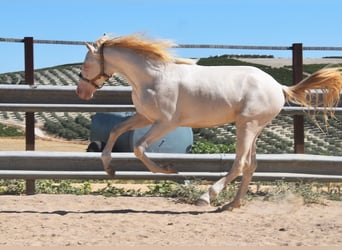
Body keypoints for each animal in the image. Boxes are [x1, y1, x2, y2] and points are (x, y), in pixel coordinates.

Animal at [77, 33, 342, 211]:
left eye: (86, 64)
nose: (81, 92)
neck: (153, 77)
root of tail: (279, 86)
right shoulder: (145, 117)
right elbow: (116, 130)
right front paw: (110, 168)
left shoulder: (166, 123)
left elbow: (139, 147)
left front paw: (170, 169)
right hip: (253, 128)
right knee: (251, 165)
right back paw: (232, 204)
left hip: (247, 126)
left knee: (240, 163)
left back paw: (207, 196)